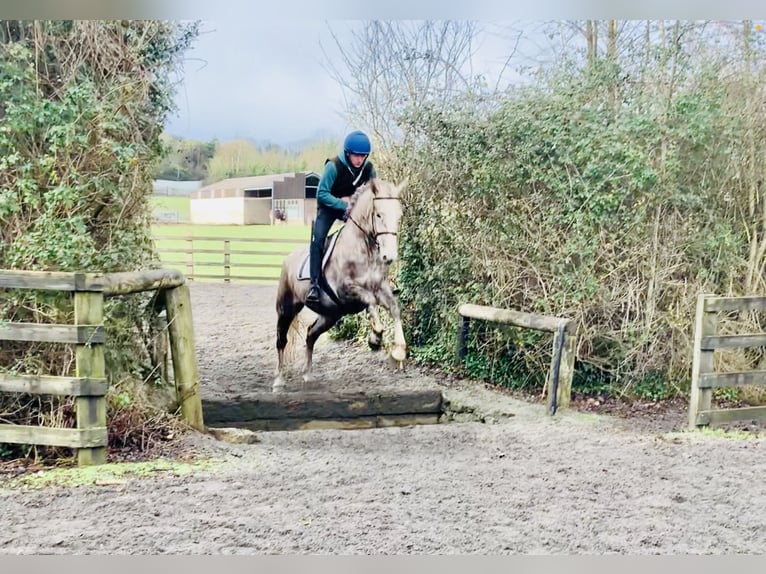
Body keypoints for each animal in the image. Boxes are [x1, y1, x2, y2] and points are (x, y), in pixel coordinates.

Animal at [274, 178, 408, 394]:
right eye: (379, 214)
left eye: (399, 215)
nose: (389, 257)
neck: (364, 250)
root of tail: (288, 258)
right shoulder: (348, 291)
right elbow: (371, 302)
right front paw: (375, 339)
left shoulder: (381, 289)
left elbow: (395, 308)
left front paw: (398, 351)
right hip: (286, 308)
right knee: (281, 340)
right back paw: (279, 381)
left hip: (330, 315)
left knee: (310, 335)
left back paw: (308, 374)